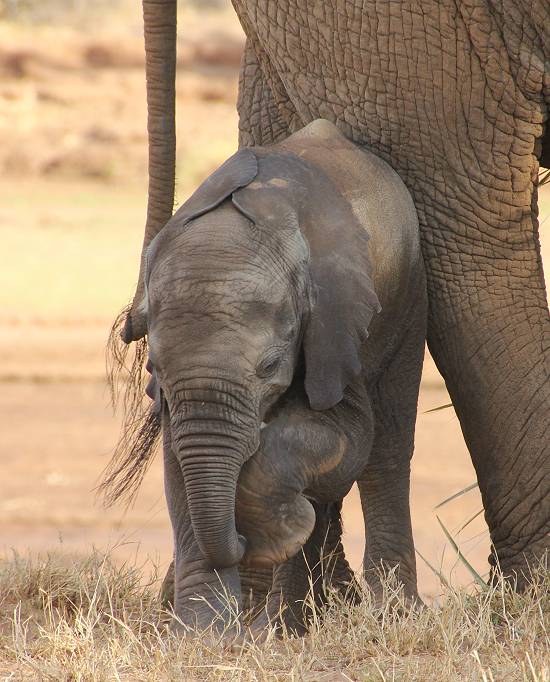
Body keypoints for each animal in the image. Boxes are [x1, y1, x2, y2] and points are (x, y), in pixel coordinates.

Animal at [112, 117, 430, 632]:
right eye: (152, 366)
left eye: (269, 367)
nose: (244, 542)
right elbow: (179, 459)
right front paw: (202, 633)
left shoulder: (335, 321)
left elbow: (350, 436)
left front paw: (277, 536)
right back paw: (286, 617)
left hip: (407, 294)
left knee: (386, 447)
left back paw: (385, 613)